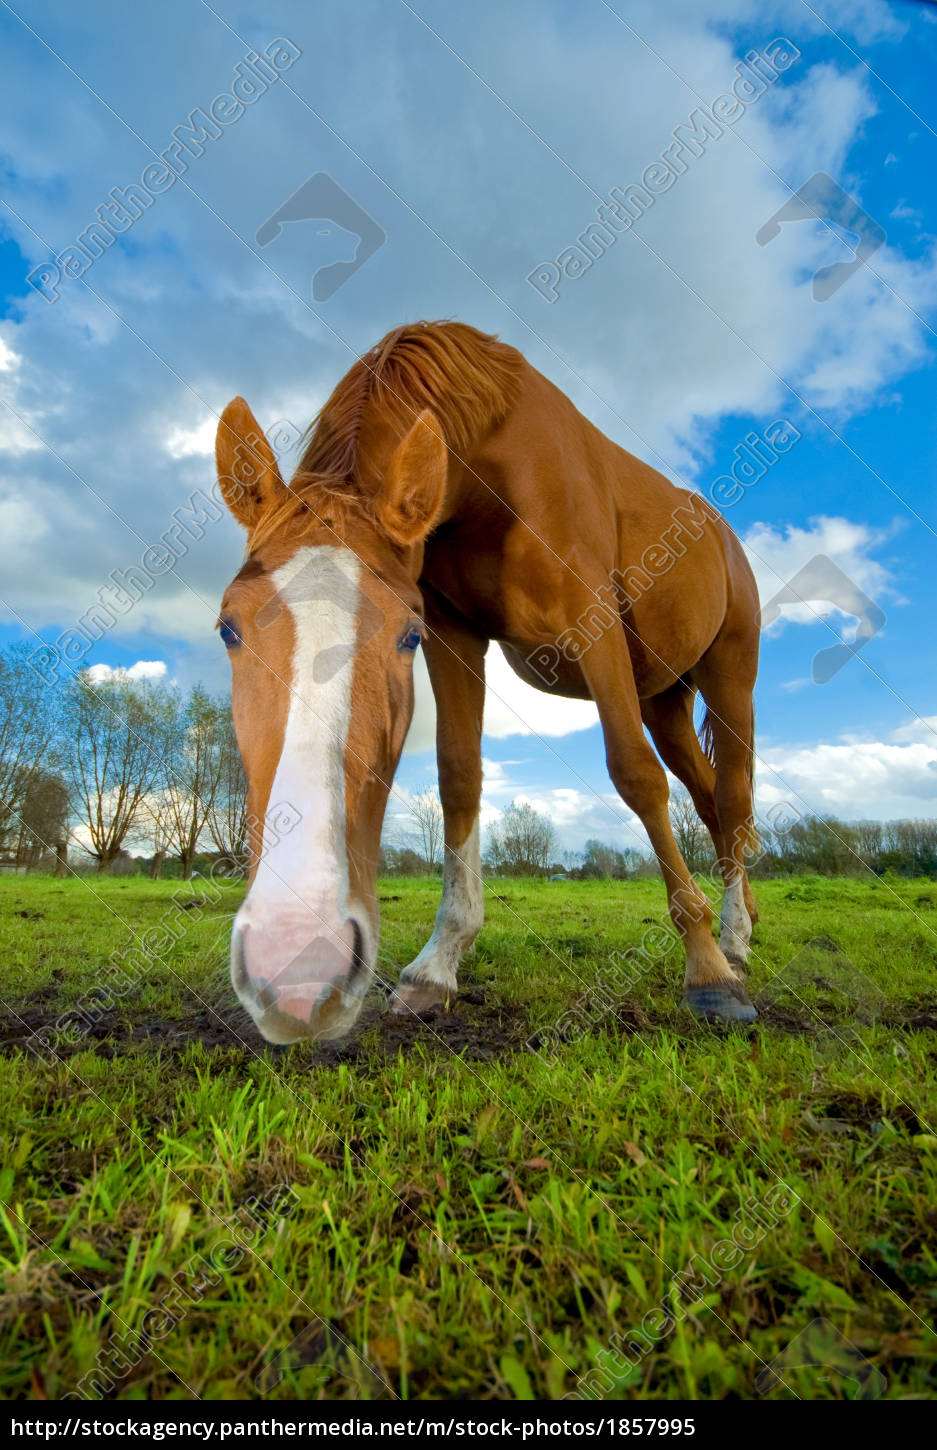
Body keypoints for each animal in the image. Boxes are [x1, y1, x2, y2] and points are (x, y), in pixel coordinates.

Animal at [216, 319, 760, 1044]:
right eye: (228, 628)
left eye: (404, 634)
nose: (297, 965)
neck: (491, 469)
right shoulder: (456, 635)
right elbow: (459, 777)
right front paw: (436, 965)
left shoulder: (592, 626)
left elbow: (635, 776)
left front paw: (704, 971)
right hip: (664, 701)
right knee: (709, 799)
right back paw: (743, 927)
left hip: (729, 680)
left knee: (731, 796)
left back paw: (728, 941)